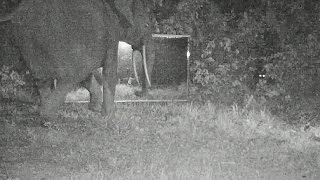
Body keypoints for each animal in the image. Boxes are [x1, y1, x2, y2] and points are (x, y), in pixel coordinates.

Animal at [0, 0, 155, 121]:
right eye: (147, 25)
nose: (137, 93)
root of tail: (17, 11)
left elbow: (88, 76)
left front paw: (94, 109)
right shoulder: (111, 34)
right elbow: (109, 72)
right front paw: (110, 116)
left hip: (28, 41)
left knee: (42, 79)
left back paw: (46, 114)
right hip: (56, 42)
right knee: (70, 77)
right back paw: (48, 116)